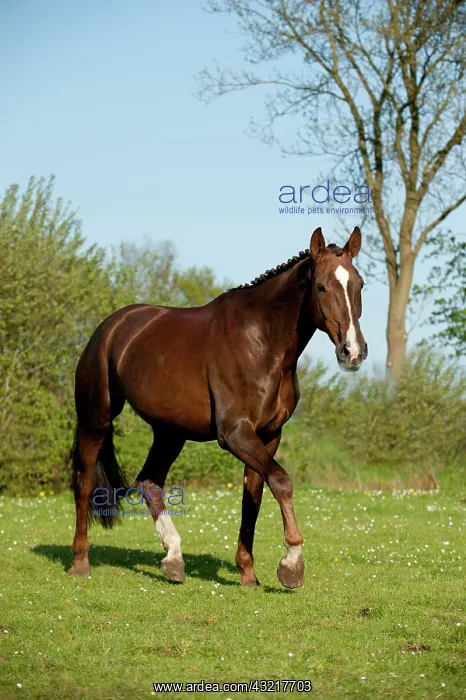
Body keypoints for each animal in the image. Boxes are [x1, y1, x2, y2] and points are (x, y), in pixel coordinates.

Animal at [69, 226, 367, 588]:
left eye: (359, 284)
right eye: (321, 286)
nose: (353, 351)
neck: (261, 341)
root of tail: (109, 328)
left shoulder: (268, 436)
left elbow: (253, 497)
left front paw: (248, 573)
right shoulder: (235, 434)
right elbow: (281, 481)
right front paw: (292, 564)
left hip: (170, 432)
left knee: (149, 482)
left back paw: (173, 558)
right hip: (95, 418)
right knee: (85, 483)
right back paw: (81, 561)